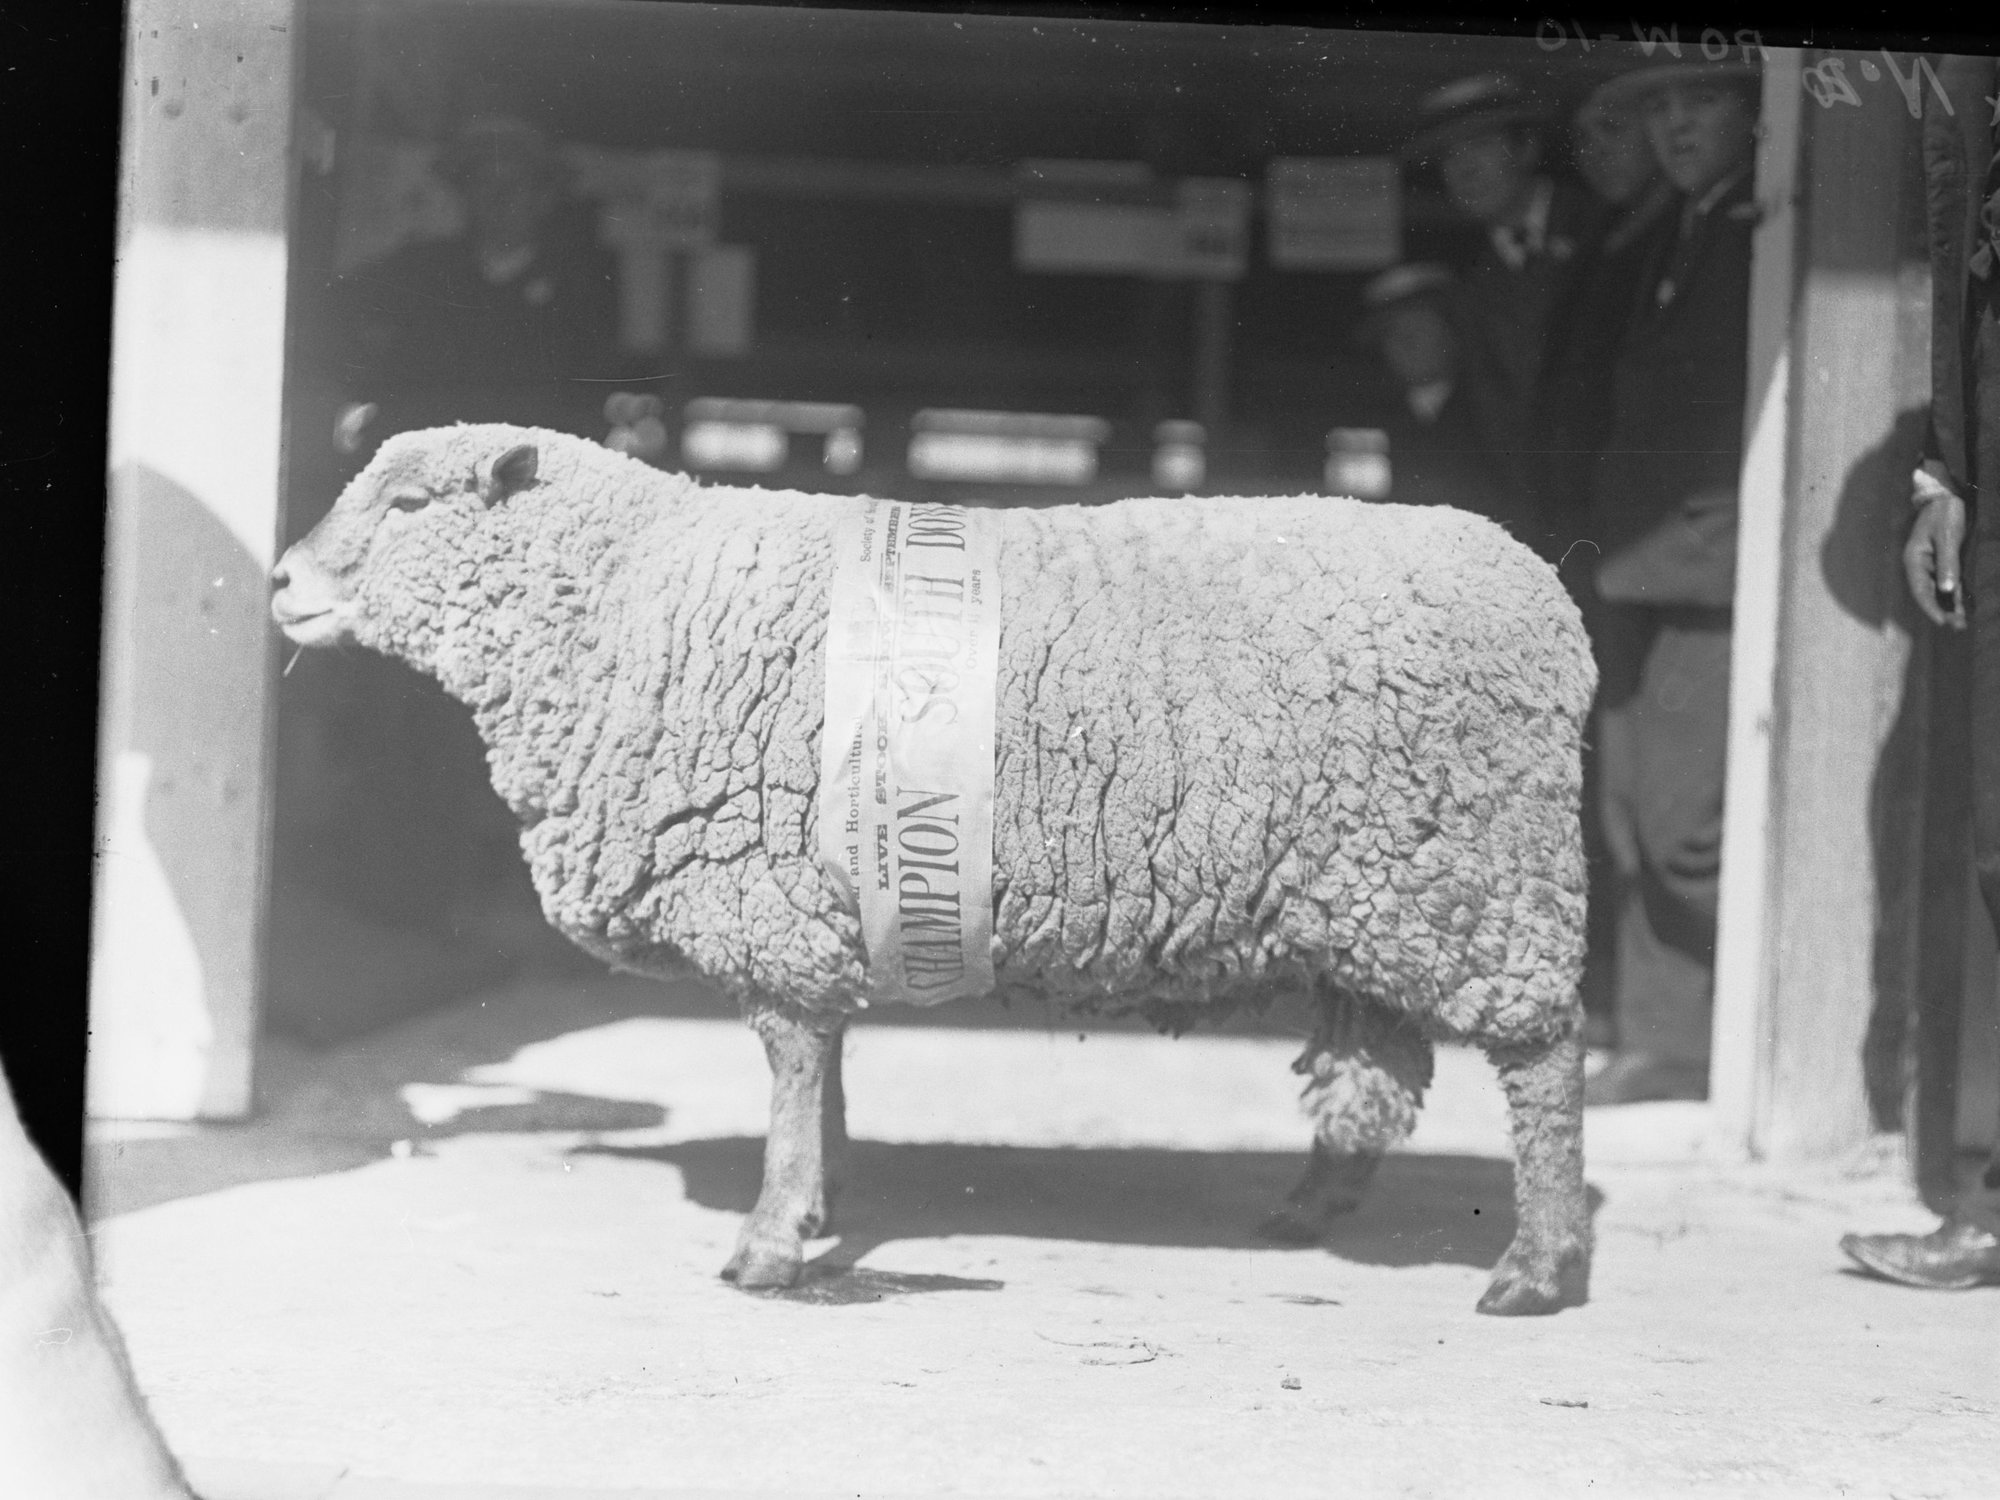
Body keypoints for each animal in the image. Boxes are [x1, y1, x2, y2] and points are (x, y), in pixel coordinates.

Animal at [271, 423, 1596, 1316]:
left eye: (408, 503)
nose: (280, 581)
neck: (631, 601)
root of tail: (1545, 599)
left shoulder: (769, 898)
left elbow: (791, 1065)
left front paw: (769, 1238)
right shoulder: (821, 903)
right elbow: (821, 1067)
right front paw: (819, 1201)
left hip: (1484, 879)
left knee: (1539, 1061)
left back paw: (1534, 1266)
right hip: (1372, 897)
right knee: (1370, 1073)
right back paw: (1308, 1209)